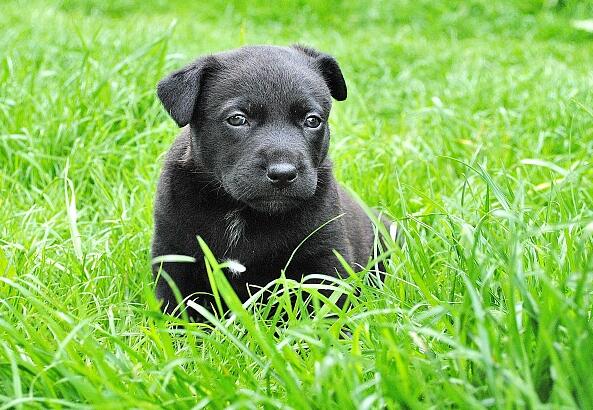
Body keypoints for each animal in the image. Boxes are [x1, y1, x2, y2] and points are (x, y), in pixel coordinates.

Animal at [153, 45, 394, 320]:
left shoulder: (325, 257)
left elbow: (328, 310)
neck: (239, 211)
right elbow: (178, 312)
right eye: (237, 119)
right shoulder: (174, 258)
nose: (283, 174)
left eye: (312, 120)